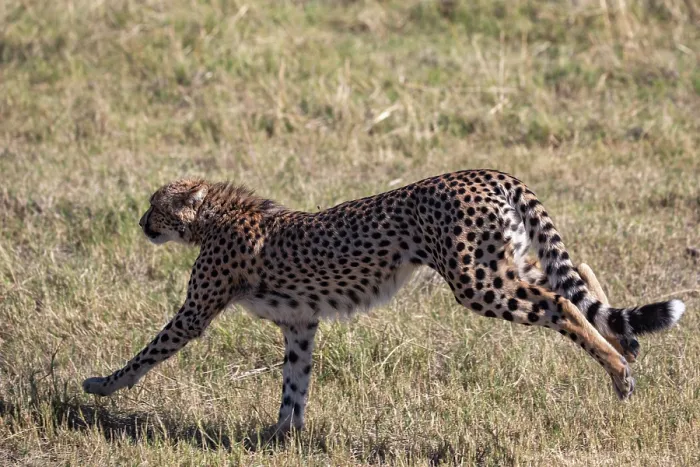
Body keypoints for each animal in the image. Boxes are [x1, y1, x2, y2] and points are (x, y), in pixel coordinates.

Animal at [83, 169, 686, 432]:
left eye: (156, 205)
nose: (140, 222)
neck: (215, 217)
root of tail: (485, 172)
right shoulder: (300, 323)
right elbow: (294, 383)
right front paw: (281, 436)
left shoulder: (196, 311)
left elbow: (149, 351)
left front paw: (101, 385)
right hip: (505, 262)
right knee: (575, 277)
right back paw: (628, 342)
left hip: (478, 282)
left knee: (562, 305)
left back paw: (619, 371)